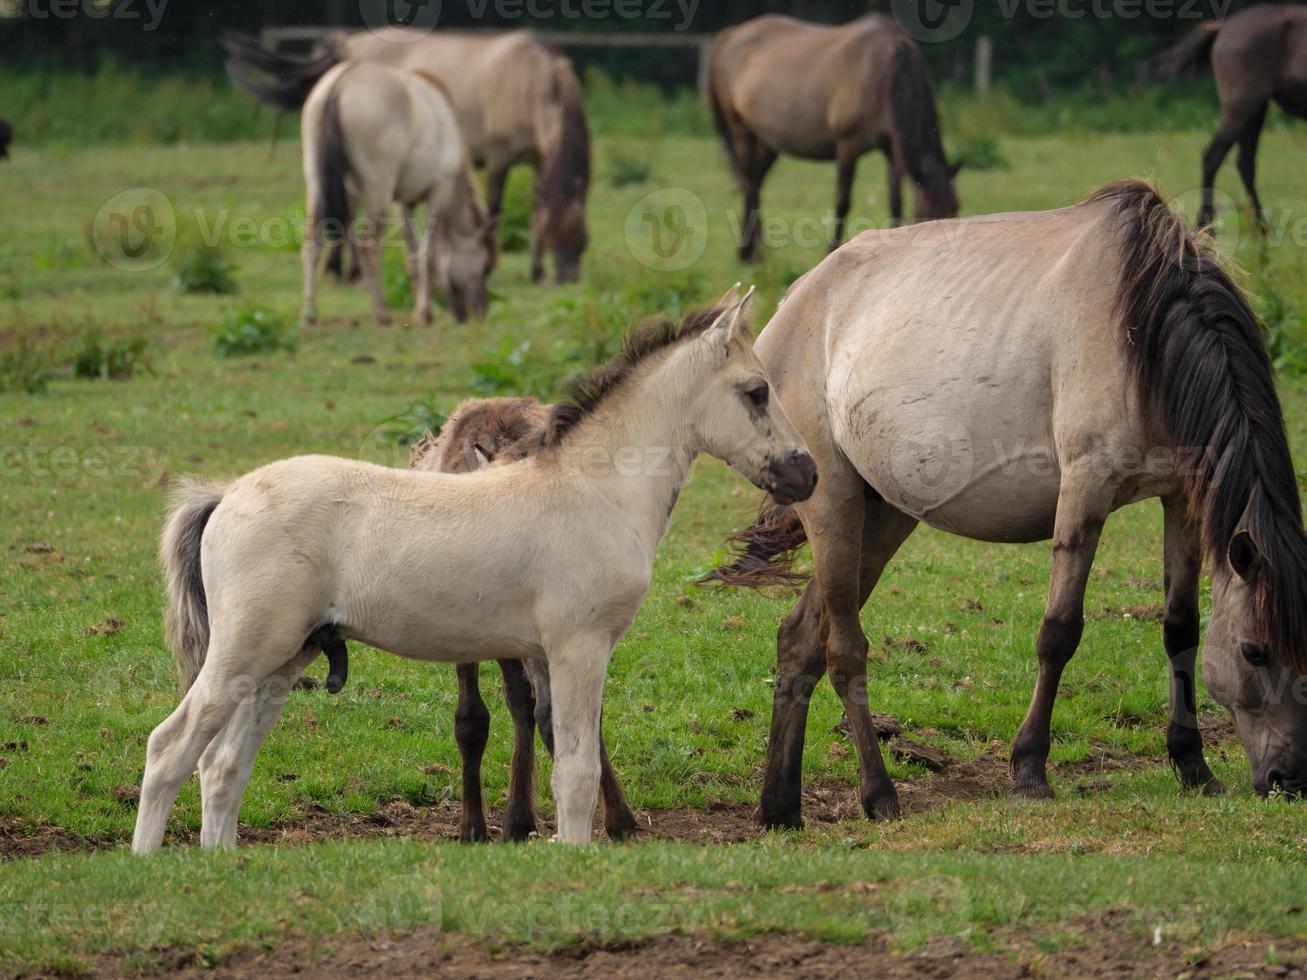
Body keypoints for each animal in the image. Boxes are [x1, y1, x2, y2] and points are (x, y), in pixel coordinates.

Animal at [127, 290, 810, 851]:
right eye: (756, 391)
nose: (806, 473)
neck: (593, 489)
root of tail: (227, 494)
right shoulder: (577, 647)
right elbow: (576, 768)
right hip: (245, 651)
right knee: (170, 748)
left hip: (284, 660)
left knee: (223, 767)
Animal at [226, 29, 593, 283]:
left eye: (581, 239)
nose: (567, 278)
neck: (532, 78)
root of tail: (347, 47)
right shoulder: (498, 159)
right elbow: (494, 211)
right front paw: (488, 265)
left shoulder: (539, 161)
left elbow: (536, 208)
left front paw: (536, 270)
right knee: (350, 203)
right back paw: (346, 270)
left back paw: (346, 269)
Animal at [299, 61, 494, 326]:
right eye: (485, 267)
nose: (479, 315)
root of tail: (342, 79)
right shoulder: (439, 193)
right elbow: (427, 255)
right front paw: (423, 312)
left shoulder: (404, 203)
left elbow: (413, 254)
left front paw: (421, 307)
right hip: (378, 191)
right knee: (369, 245)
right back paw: (381, 313)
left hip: (317, 186)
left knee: (312, 242)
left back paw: (309, 313)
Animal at [716, 16, 961, 261]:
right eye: (930, 213)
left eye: (955, 210)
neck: (886, 70)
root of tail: (734, 34)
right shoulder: (847, 146)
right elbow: (843, 201)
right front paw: (832, 248)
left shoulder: (893, 148)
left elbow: (895, 201)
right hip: (742, 131)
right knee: (749, 184)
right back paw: (747, 253)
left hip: (769, 142)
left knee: (755, 183)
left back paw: (758, 248)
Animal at [1155, 5, 1307, 229]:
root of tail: (1222, 26)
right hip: (1241, 107)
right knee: (1214, 156)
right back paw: (1208, 227)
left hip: (1256, 109)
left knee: (1245, 163)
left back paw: (1263, 230)